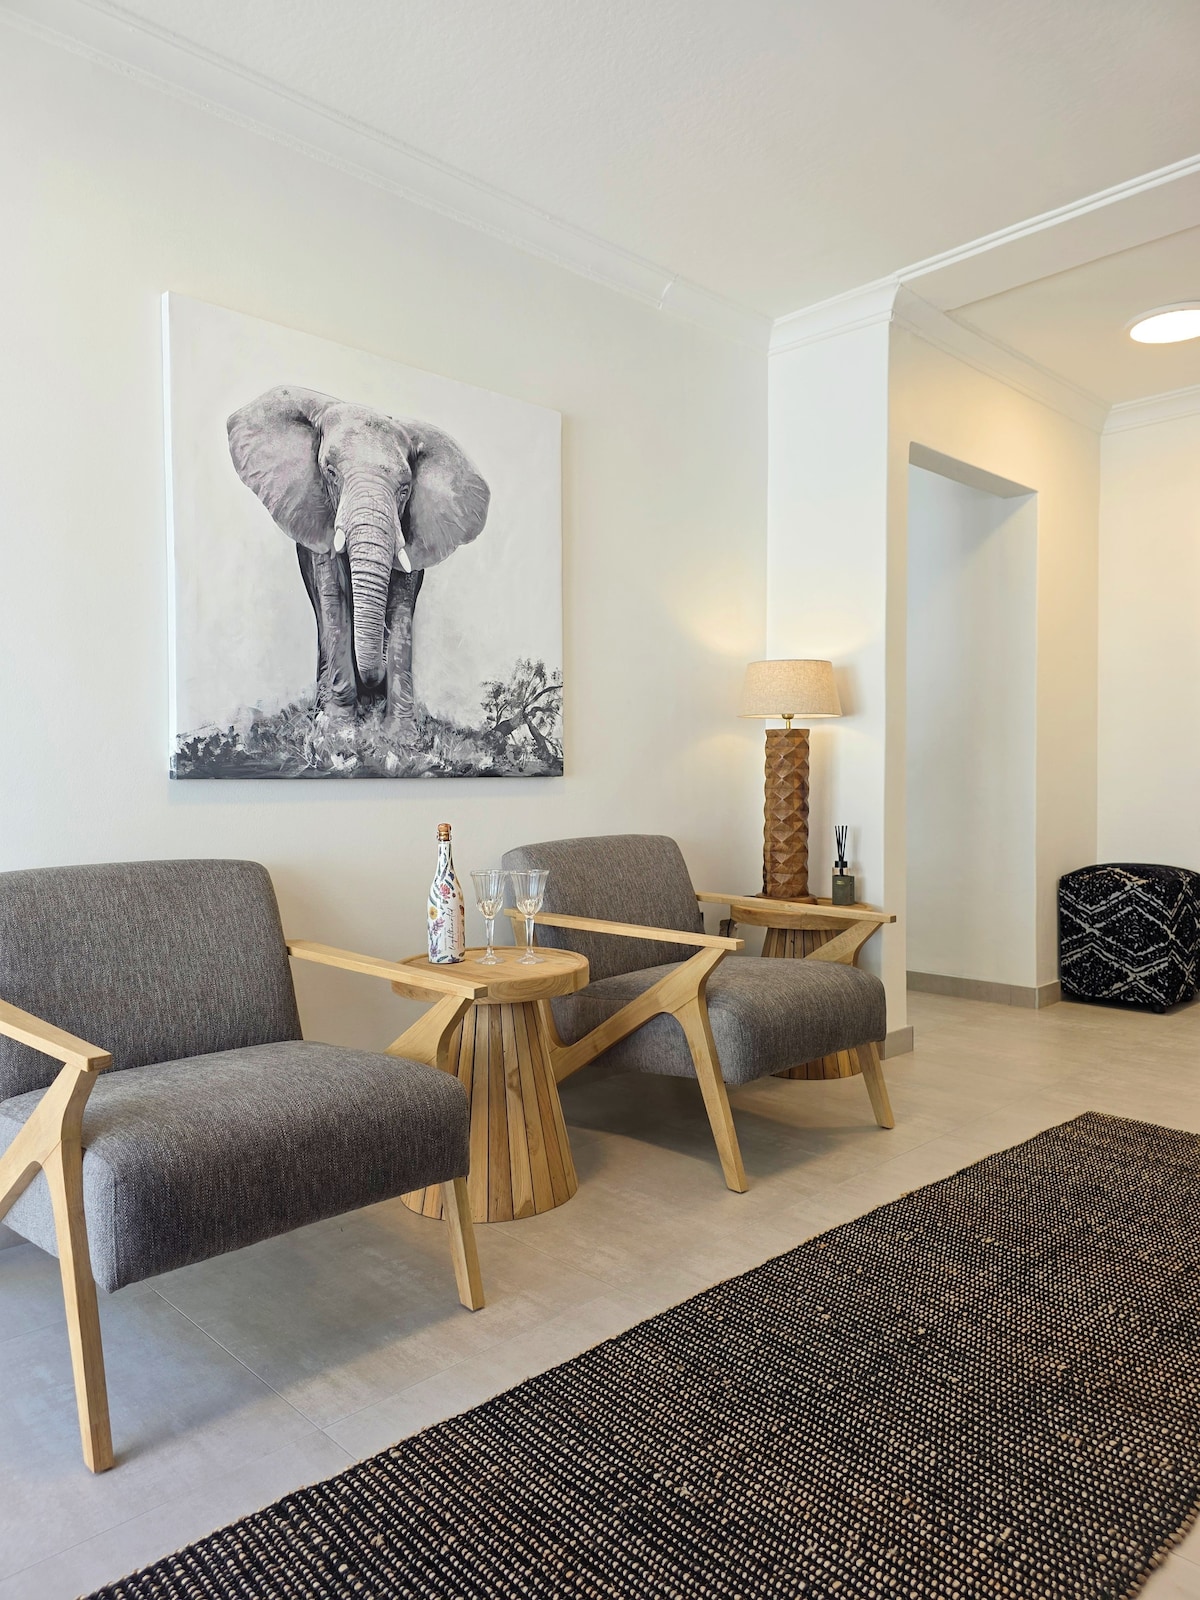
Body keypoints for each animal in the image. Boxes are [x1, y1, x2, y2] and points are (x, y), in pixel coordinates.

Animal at [227, 385, 490, 743]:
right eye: (330, 472)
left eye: (405, 489)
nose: (373, 684)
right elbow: (333, 599)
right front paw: (338, 731)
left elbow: (401, 605)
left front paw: (401, 738)